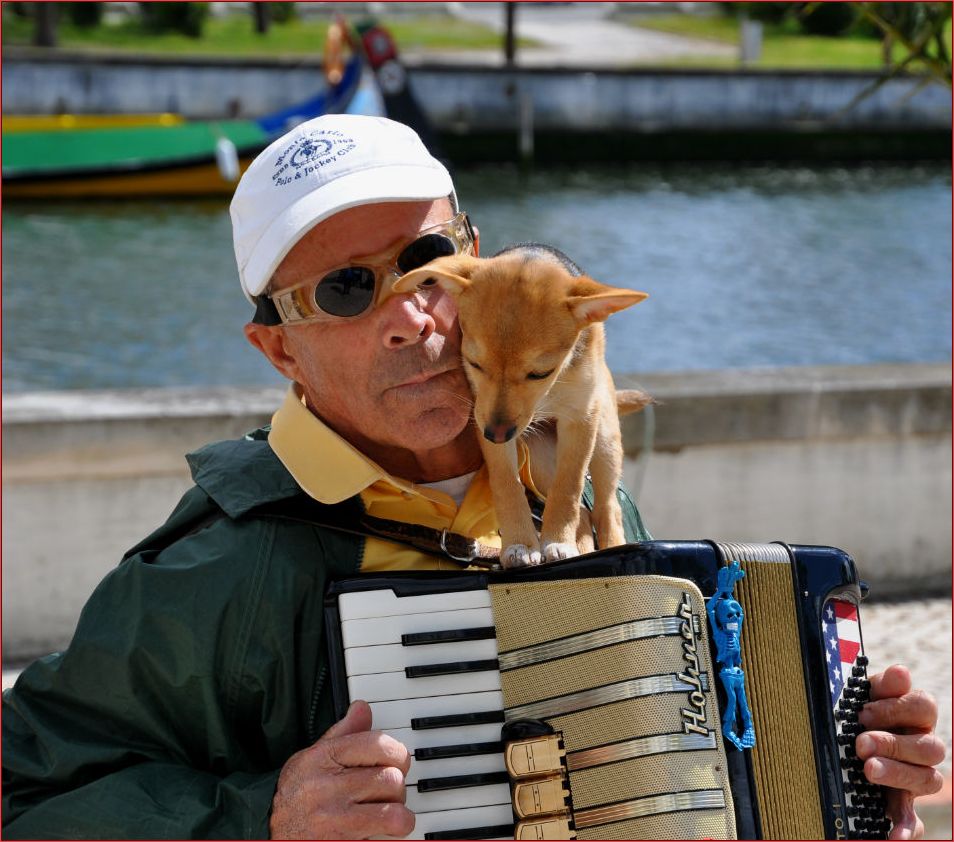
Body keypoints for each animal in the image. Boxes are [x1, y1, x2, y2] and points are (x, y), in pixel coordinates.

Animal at [394, 248, 648, 564]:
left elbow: (570, 485)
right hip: (539, 455)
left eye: (540, 373)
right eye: (474, 364)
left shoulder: (581, 418)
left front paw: (557, 539)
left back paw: (611, 547)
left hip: (603, 440)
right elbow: (506, 484)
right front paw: (520, 544)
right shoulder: (484, 417)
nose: (497, 434)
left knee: (607, 506)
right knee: (585, 513)